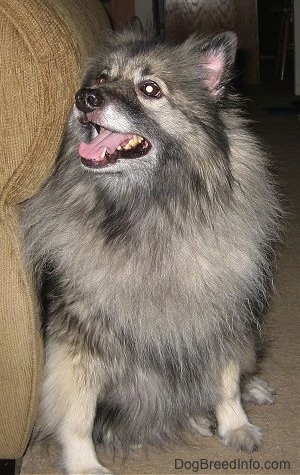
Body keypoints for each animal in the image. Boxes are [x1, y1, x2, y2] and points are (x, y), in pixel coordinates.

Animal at [21, 26, 282, 475]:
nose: (85, 97)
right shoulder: (78, 342)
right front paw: (85, 465)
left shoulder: (219, 316)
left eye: (150, 89)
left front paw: (235, 426)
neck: (151, 211)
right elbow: (77, 415)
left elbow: (226, 381)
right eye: (102, 77)